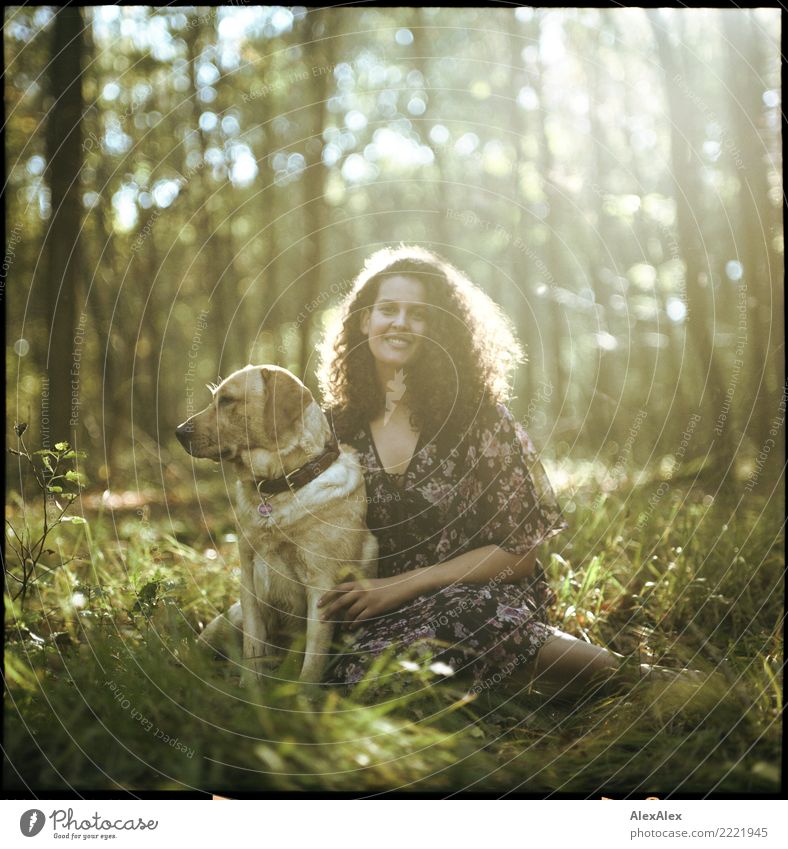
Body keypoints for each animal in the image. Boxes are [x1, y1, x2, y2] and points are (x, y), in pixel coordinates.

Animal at [176, 364, 378, 684]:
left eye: (227, 400)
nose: (178, 431)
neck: (278, 487)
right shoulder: (248, 578)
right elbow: (252, 649)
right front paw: (249, 690)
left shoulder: (322, 586)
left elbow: (312, 661)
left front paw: (302, 695)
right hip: (227, 620)